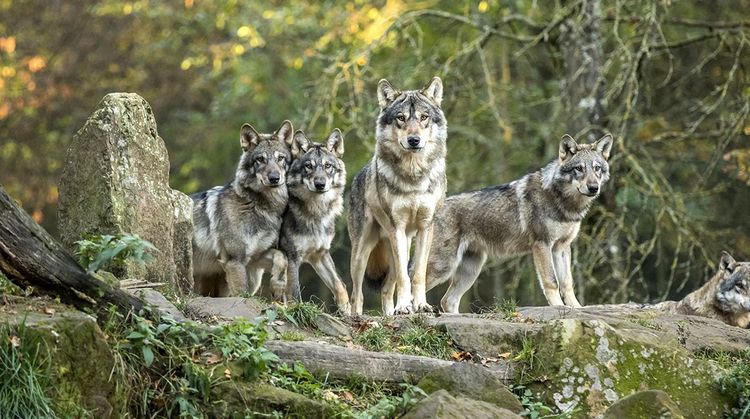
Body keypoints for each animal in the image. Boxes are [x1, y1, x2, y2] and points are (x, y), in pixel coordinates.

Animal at [192, 121, 293, 297]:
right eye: (260, 159)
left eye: (280, 158)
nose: (274, 178)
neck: (260, 206)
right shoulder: (235, 260)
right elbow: (241, 293)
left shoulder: (255, 258)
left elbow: (282, 257)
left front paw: (278, 285)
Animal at [278, 128, 350, 313]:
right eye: (308, 166)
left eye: (327, 166)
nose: (320, 184)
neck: (317, 213)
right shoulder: (292, 257)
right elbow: (294, 293)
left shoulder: (320, 255)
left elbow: (340, 284)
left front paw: (347, 309)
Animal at [348, 77, 447, 315]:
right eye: (401, 118)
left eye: (423, 117)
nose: (414, 140)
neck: (414, 178)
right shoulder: (397, 227)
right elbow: (405, 277)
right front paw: (404, 306)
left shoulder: (425, 227)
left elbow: (418, 274)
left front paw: (420, 305)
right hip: (362, 253)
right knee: (356, 294)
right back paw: (357, 315)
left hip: (400, 245)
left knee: (385, 289)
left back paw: (390, 314)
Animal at [425, 133, 614, 313]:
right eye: (579, 168)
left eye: (597, 168)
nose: (593, 187)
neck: (564, 203)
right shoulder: (542, 244)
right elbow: (552, 282)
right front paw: (559, 308)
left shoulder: (561, 247)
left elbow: (567, 283)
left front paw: (577, 309)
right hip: (444, 266)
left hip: (471, 270)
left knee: (447, 301)